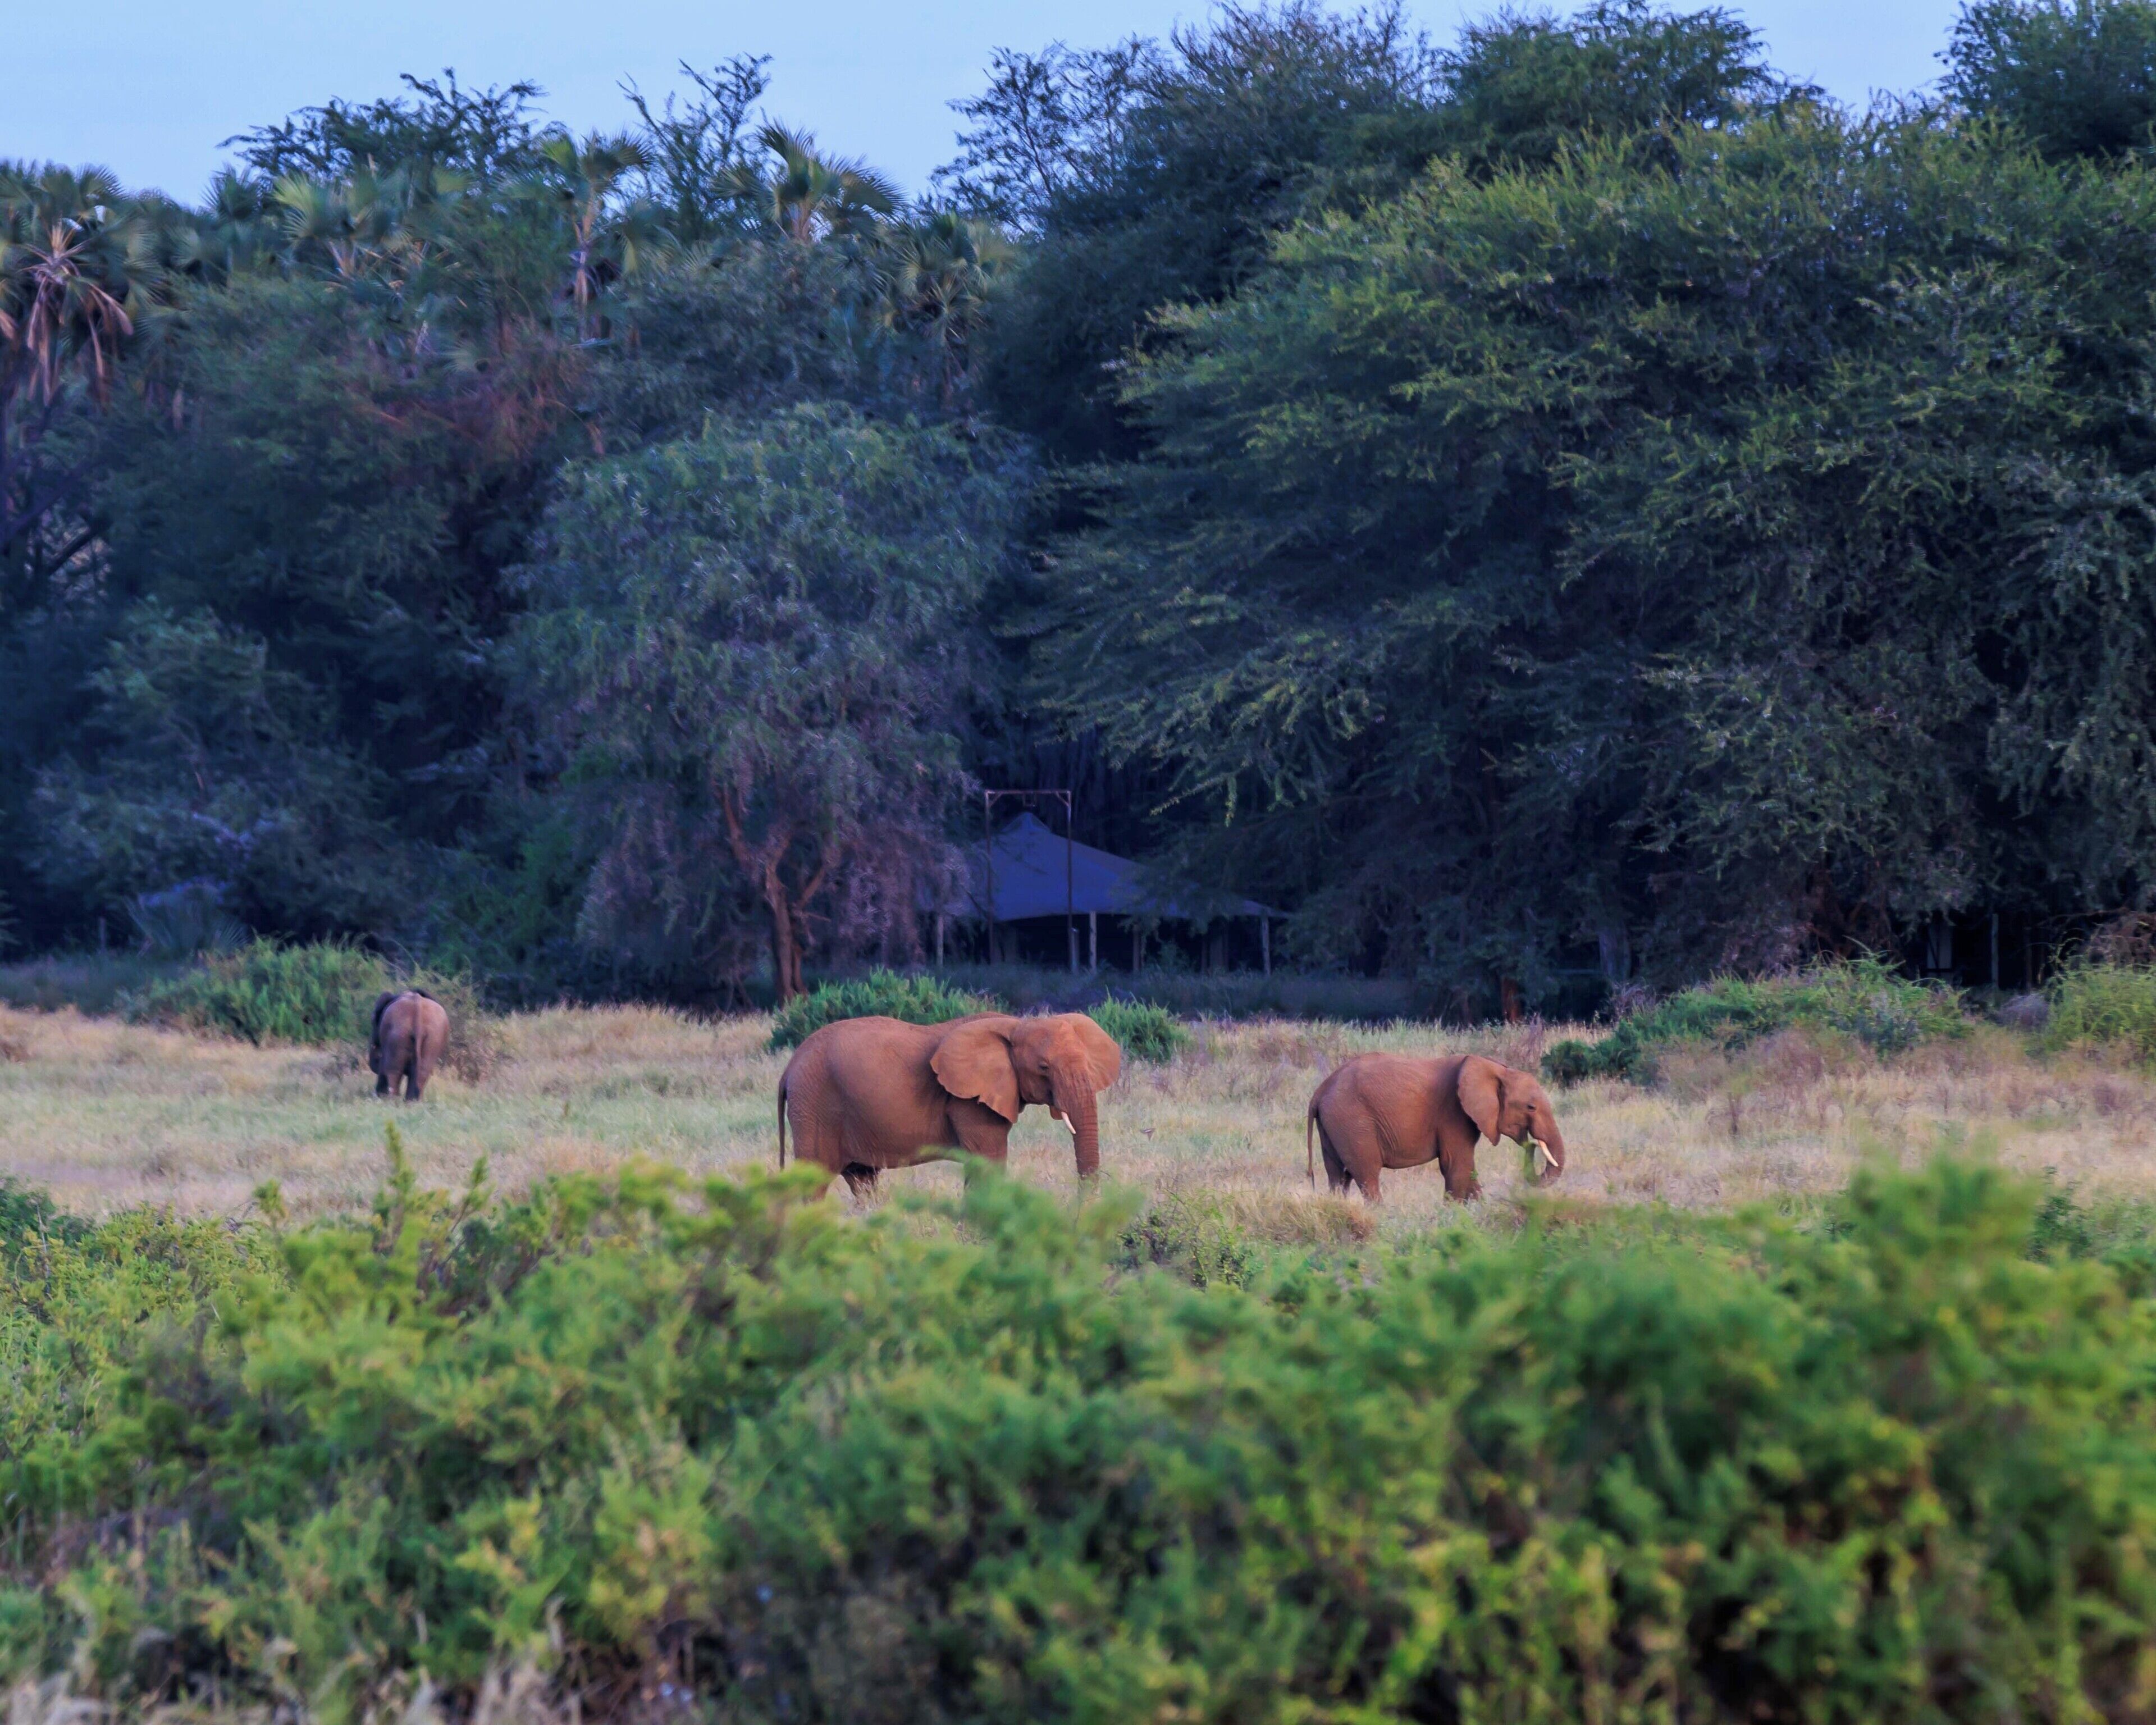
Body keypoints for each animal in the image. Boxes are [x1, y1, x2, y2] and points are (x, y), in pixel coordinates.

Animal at [369, 990, 450, 1101]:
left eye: (373, 1020)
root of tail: (418, 1008)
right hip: (432, 1040)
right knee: (421, 1075)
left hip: (397, 1037)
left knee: (393, 1071)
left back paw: (391, 1100)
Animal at [778, 1012, 1123, 1196]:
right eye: (1044, 1067)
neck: (1016, 1025)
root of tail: (790, 1067)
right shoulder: (969, 1101)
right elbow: (989, 1163)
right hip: (814, 1106)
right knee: (813, 1182)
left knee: (863, 1180)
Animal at [1306, 1052, 1566, 1203]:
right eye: (1531, 1107)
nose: (1532, 1143)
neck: (1497, 1069)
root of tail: (1320, 1091)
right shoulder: (1453, 1113)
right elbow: (1457, 1166)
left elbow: (1466, 1169)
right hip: (1353, 1121)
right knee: (1367, 1176)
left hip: (1334, 1123)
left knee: (1338, 1176)